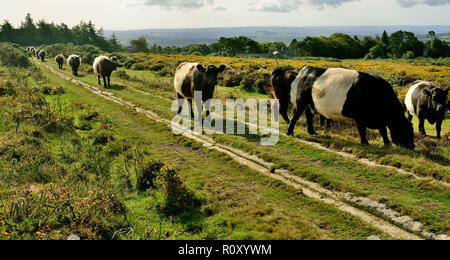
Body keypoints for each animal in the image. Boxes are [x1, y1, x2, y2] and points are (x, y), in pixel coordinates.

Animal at [284, 66, 414, 149]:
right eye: (406, 130)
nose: (412, 147)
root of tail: (306, 69)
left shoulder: (378, 119)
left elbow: (383, 130)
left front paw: (387, 144)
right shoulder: (360, 117)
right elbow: (362, 129)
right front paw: (365, 142)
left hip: (310, 104)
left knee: (308, 116)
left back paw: (311, 131)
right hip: (301, 101)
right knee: (296, 115)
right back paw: (289, 132)